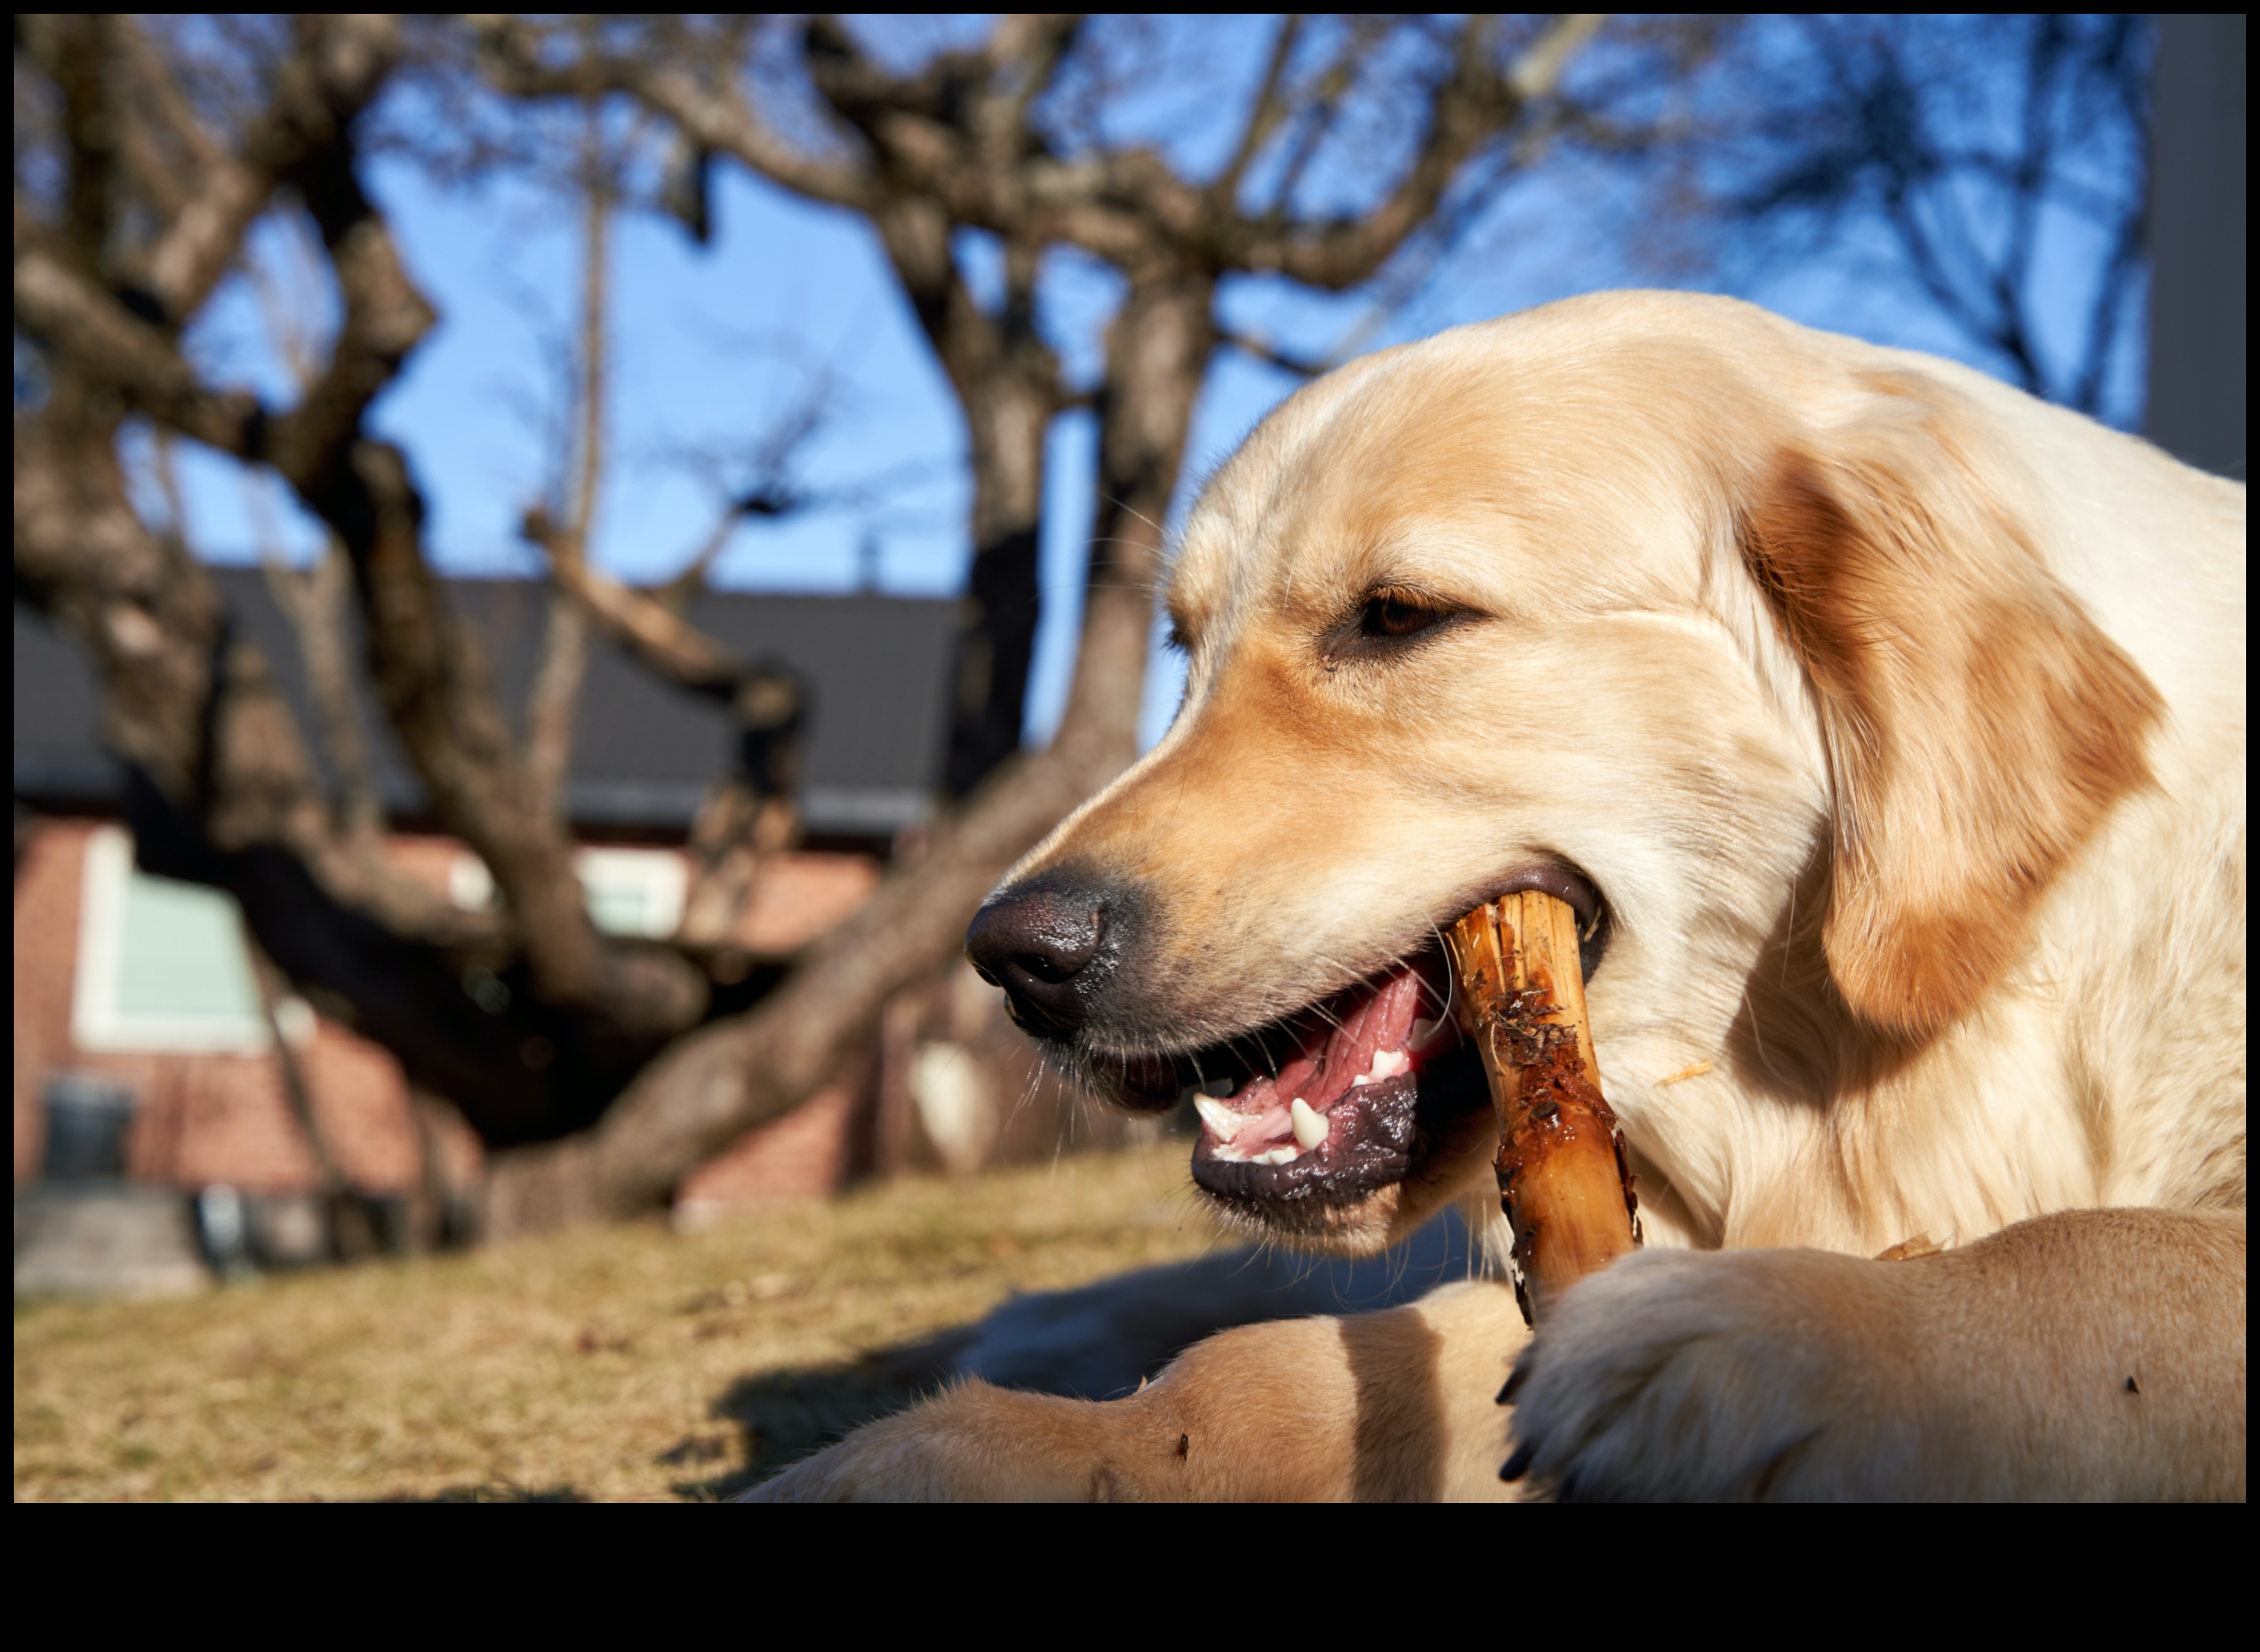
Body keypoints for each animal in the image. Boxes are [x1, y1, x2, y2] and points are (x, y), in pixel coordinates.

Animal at [754, 294, 2241, 1500]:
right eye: (1183, 646)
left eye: (1398, 618)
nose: (1011, 954)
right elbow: (1260, 1365)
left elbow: (2103, 1250)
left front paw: (1785, 1330)